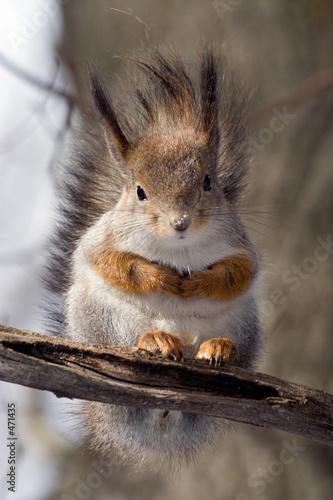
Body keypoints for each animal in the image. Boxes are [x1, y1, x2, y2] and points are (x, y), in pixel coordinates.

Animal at [44, 46, 262, 468]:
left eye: (208, 182)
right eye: (140, 192)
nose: (181, 222)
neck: (178, 249)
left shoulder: (240, 244)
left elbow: (239, 273)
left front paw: (199, 282)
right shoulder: (101, 241)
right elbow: (113, 264)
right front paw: (160, 278)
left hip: (243, 322)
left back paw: (219, 348)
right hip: (101, 317)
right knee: (127, 338)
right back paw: (155, 340)